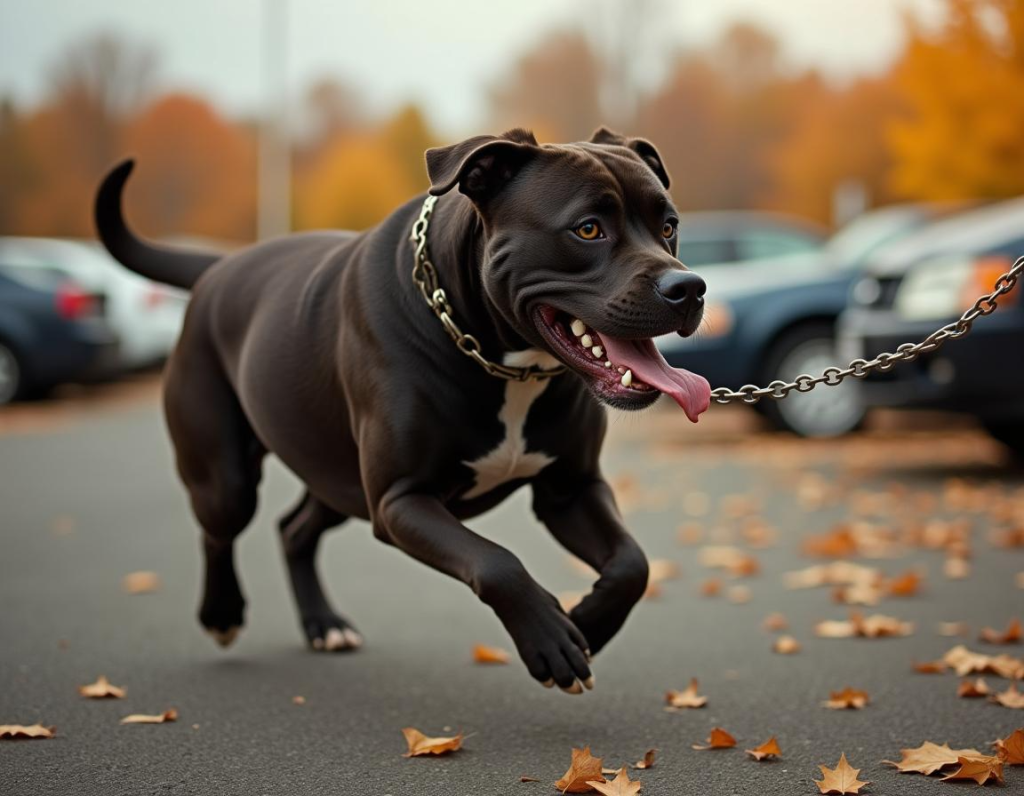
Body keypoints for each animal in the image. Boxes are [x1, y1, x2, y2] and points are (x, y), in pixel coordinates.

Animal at [97, 127, 712, 692]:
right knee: (220, 526)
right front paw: (550, 638)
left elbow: (633, 563)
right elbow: (497, 562)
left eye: (668, 226)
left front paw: (591, 622)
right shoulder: (402, 498)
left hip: (338, 476)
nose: (689, 287)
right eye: (587, 229)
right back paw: (222, 615)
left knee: (294, 528)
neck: (502, 361)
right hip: (230, 474)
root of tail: (218, 268)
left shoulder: (570, 489)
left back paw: (324, 625)